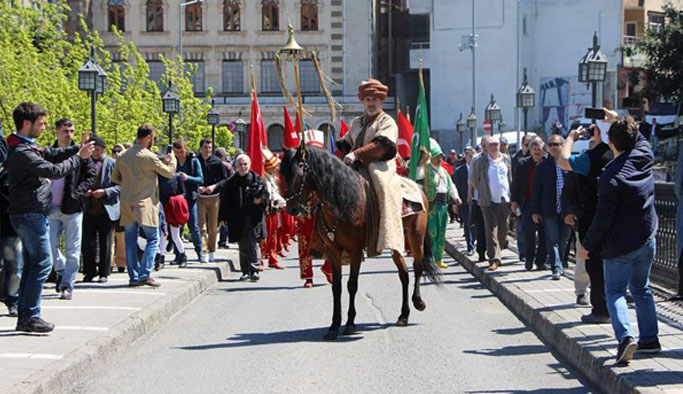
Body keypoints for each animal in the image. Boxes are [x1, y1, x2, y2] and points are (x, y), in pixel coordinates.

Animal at [280, 143, 440, 340]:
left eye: (299, 172)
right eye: (283, 174)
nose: (291, 208)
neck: (343, 200)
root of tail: (417, 186)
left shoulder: (355, 250)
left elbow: (352, 285)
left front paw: (349, 323)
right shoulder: (333, 251)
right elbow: (337, 287)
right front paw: (334, 326)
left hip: (415, 236)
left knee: (417, 266)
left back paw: (418, 302)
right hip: (394, 239)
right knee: (403, 274)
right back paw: (403, 315)